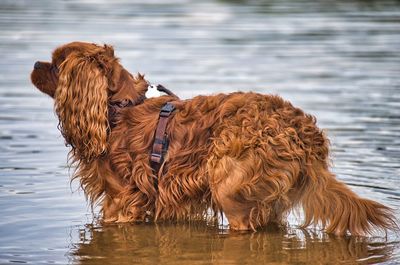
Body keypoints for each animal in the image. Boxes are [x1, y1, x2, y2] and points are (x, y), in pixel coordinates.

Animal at [30, 42, 396, 234]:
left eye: (55, 65)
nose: (34, 63)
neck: (118, 107)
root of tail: (305, 133)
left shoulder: (121, 200)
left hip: (231, 190)